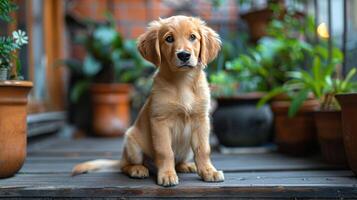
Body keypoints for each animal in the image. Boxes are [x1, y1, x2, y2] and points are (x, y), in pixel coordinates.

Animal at [72, 14, 222, 187]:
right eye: (169, 39)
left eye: (192, 37)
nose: (184, 55)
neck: (183, 81)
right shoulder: (160, 121)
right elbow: (165, 151)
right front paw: (167, 174)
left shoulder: (201, 120)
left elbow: (203, 149)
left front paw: (209, 172)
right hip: (132, 142)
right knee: (125, 166)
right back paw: (137, 169)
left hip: (186, 149)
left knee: (179, 160)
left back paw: (186, 165)